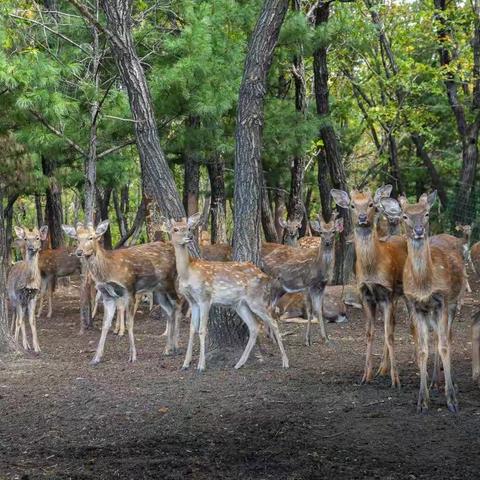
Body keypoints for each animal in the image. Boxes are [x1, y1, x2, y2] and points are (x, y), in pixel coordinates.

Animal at [60, 221, 180, 364]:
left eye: (91, 237)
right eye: (77, 239)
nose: (79, 252)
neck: (107, 272)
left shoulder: (129, 289)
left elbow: (129, 322)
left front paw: (132, 356)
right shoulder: (107, 295)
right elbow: (105, 324)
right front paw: (96, 357)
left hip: (170, 281)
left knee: (179, 303)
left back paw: (177, 347)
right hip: (158, 290)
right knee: (170, 310)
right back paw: (168, 348)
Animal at [160, 213, 288, 372]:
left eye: (189, 228)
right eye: (176, 229)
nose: (189, 236)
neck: (187, 273)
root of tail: (265, 276)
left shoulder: (205, 297)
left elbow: (202, 329)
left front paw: (201, 366)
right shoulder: (193, 301)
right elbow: (192, 329)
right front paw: (185, 364)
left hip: (256, 299)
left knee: (273, 322)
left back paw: (285, 362)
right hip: (240, 304)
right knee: (254, 326)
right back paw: (239, 363)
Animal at [260, 212, 344, 346]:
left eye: (333, 231)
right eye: (321, 232)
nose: (327, 242)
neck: (319, 267)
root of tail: (263, 262)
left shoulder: (321, 286)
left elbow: (319, 310)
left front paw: (325, 338)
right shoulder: (307, 284)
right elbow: (310, 311)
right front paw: (307, 340)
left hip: (280, 288)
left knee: (269, 307)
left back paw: (271, 337)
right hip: (272, 282)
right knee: (268, 307)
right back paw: (273, 338)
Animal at [332, 186, 406, 388]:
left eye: (372, 203)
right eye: (352, 205)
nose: (363, 217)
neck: (371, 269)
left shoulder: (387, 292)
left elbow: (388, 334)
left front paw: (396, 380)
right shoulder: (366, 295)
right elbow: (369, 333)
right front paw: (366, 375)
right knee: (394, 323)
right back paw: (383, 368)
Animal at [380, 191, 464, 412]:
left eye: (426, 213)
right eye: (405, 216)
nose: (418, 231)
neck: (424, 285)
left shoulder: (443, 300)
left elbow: (444, 346)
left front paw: (452, 400)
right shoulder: (415, 305)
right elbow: (422, 349)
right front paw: (422, 400)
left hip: (455, 301)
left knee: (447, 337)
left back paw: (450, 383)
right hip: (430, 311)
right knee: (435, 338)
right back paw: (434, 381)